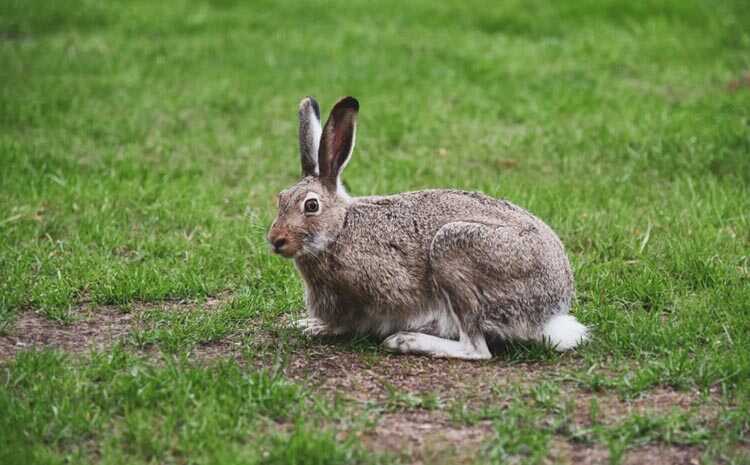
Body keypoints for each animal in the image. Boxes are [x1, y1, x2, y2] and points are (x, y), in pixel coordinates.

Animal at [268, 97, 592, 358]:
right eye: (280, 199)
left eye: (311, 206)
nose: (275, 240)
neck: (340, 228)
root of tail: (551, 310)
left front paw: (313, 326)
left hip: (454, 250)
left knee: (476, 348)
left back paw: (406, 341)